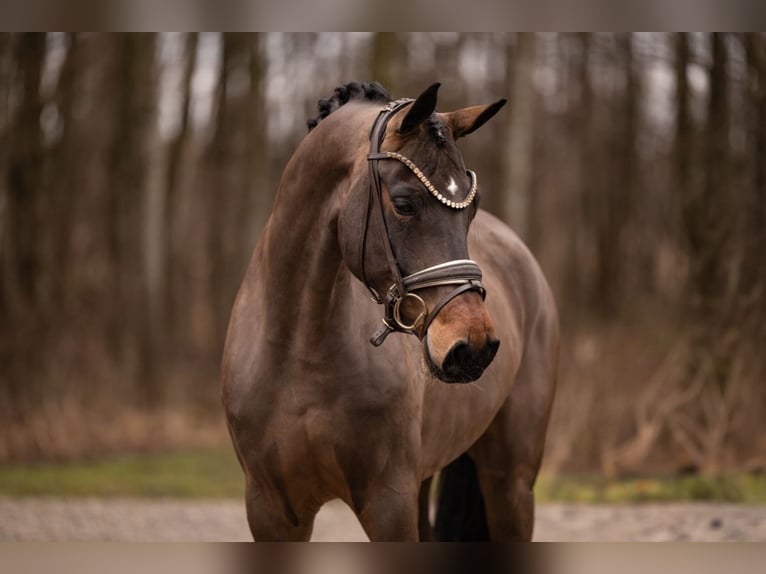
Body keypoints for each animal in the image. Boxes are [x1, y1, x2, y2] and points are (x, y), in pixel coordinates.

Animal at [221, 81, 558, 541]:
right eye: (403, 203)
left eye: (471, 209)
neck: (299, 353)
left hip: (511, 482)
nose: (474, 345)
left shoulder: (389, 503)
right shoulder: (271, 510)